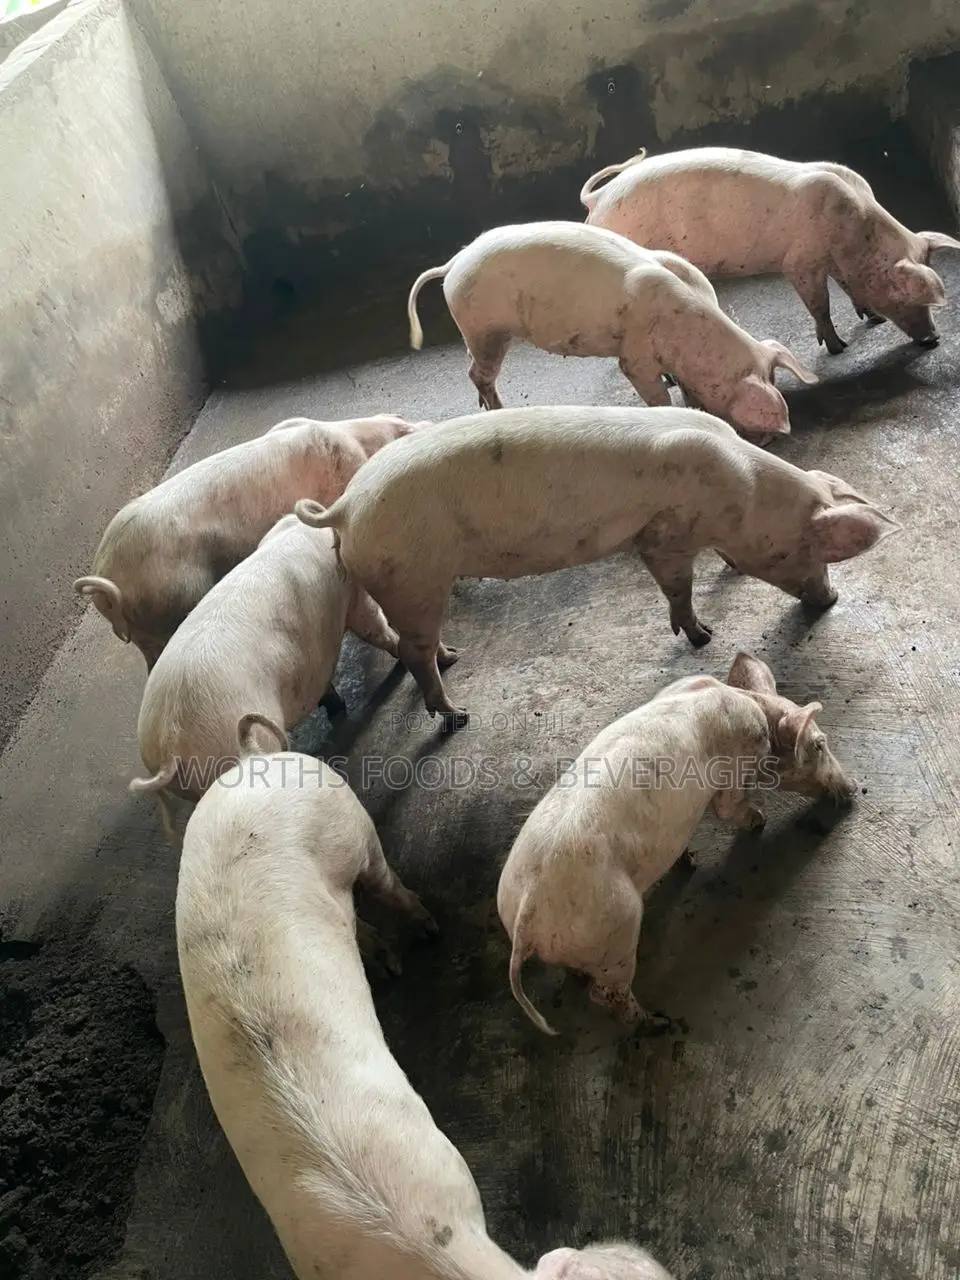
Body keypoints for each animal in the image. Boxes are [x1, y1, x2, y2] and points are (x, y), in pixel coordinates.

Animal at [177, 750, 676, 1280]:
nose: (634, 1243)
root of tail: (257, 760)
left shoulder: (449, 1162)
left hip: (351, 823)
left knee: (378, 885)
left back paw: (418, 937)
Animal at [293, 404, 900, 729]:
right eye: (807, 551)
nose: (831, 599)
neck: (744, 497)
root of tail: (345, 507)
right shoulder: (664, 536)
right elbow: (677, 586)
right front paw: (703, 636)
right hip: (413, 576)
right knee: (414, 654)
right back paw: (458, 714)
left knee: (415, 644)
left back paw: (455, 655)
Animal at [406, 221, 817, 439]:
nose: (770, 438)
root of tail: (453, 263)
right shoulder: (635, 355)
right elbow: (650, 389)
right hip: (485, 329)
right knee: (477, 372)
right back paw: (496, 409)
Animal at [497, 653, 856, 1036]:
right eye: (819, 744)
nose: (852, 790)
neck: (759, 715)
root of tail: (525, 916)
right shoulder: (737, 766)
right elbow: (729, 808)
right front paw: (759, 820)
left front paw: (689, 859)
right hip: (616, 928)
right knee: (606, 994)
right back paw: (658, 1023)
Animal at [581, 146, 960, 353]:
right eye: (902, 292)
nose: (934, 339)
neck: (856, 231)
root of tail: (597, 200)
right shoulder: (800, 261)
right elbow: (820, 304)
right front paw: (839, 348)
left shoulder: (832, 260)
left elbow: (846, 286)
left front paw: (873, 319)